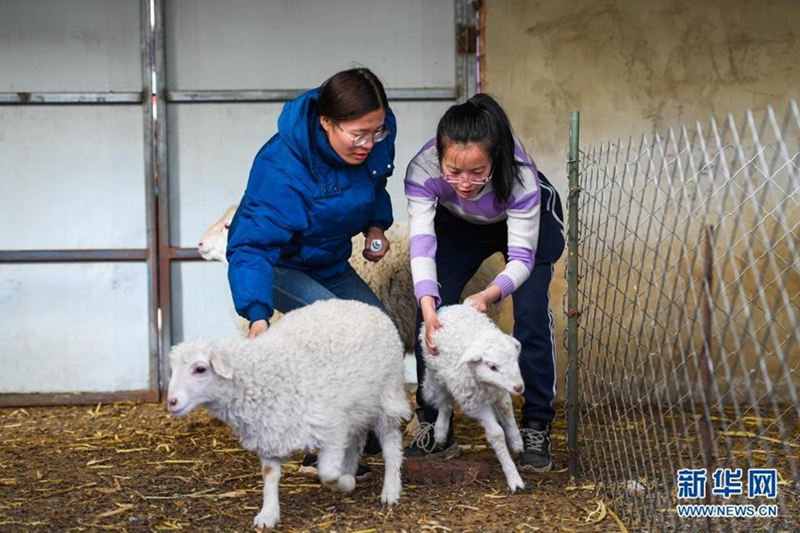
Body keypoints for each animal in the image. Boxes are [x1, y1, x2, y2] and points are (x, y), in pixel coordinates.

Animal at [166, 300, 410, 528]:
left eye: (200, 369)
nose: (172, 402)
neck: (267, 374)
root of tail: (369, 307)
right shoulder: (268, 431)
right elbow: (270, 476)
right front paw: (268, 514)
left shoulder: (331, 428)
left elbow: (328, 474)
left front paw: (346, 483)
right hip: (357, 408)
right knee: (356, 440)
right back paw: (351, 469)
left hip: (387, 396)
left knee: (391, 444)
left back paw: (390, 488)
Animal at [422, 302, 528, 492]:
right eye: (492, 367)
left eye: (515, 360)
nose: (519, 387)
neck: (488, 386)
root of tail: (450, 307)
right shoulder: (475, 404)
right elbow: (496, 434)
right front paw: (513, 477)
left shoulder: (500, 394)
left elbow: (507, 413)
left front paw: (517, 444)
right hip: (438, 374)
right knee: (445, 403)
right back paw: (440, 432)